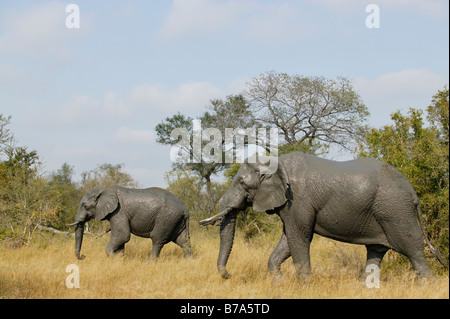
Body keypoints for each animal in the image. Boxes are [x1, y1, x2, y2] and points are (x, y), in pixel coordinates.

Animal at [200, 152, 446, 280]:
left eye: (242, 183)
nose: (229, 274)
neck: (276, 162)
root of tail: (413, 192)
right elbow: (288, 239)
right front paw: (279, 282)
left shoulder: (297, 200)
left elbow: (299, 237)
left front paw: (304, 285)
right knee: (376, 252)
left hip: (395, 210)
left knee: (413, 250)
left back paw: (427, 285)